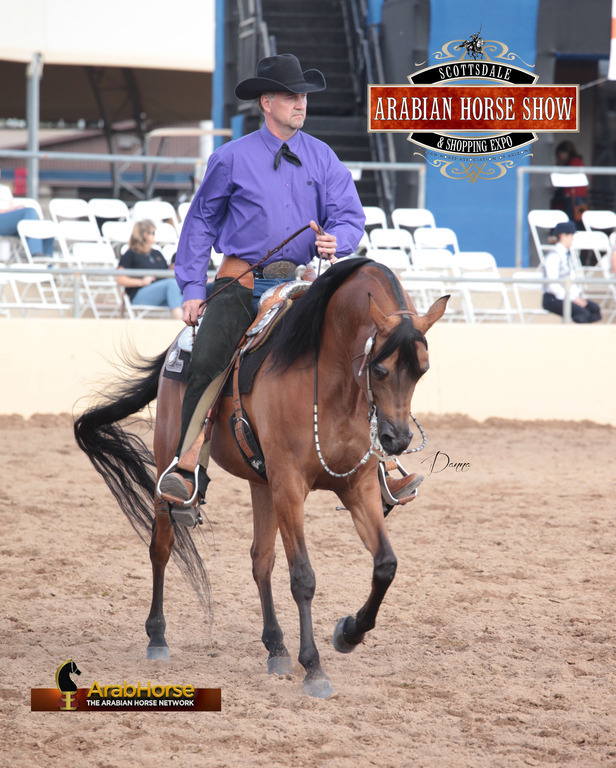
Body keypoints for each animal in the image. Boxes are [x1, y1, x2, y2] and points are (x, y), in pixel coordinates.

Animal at [74, 257, 448, 698]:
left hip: (262, 484)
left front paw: (348, 633)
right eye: (380, 368)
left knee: (260, 560)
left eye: (423, 370)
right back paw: (158, 637)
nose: (397, 439)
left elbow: (385, 564)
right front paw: (314, 667)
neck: (329, 373)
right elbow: (302, 577)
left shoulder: (357, 487)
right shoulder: (290, 485)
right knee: (162, 548)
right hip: (173, 461)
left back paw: (276, 646)